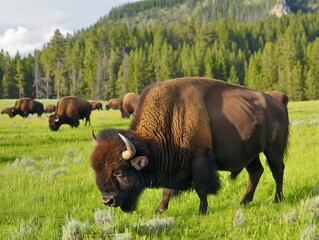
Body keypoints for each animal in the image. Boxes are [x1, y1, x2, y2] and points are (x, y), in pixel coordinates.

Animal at [90, 78, 290, 215]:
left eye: (119, 172)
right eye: (97, 169)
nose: (107, 200)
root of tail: (278, 104)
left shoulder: (199, 159)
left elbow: (201, 188)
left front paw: (202, 211)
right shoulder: (174, 168)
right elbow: (167, 191)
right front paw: (159, 210)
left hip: (273, 149)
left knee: (277, 170)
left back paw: (278, 199)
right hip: (251, 153)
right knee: (256, 172)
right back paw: (243, 202)